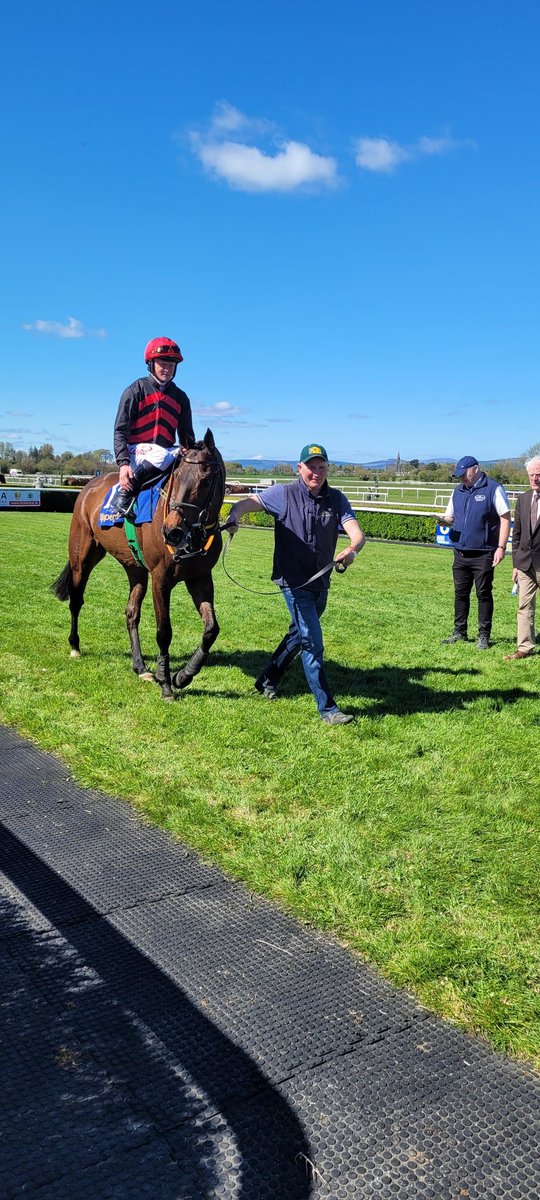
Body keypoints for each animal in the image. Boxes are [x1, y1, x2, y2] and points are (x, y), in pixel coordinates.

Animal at [52, 427, 225, 700]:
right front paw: (166, 683)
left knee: (131, 613)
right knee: (76, 600)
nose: (172, 531)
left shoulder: (200, 577)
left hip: (135, 568)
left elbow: (211, 629)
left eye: (206, 480)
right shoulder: (161, 578)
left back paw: (141, 666)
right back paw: (75, 646)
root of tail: (89, 485)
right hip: (83, 558)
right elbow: (164, 632)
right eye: (176, 476)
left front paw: (184, 675)